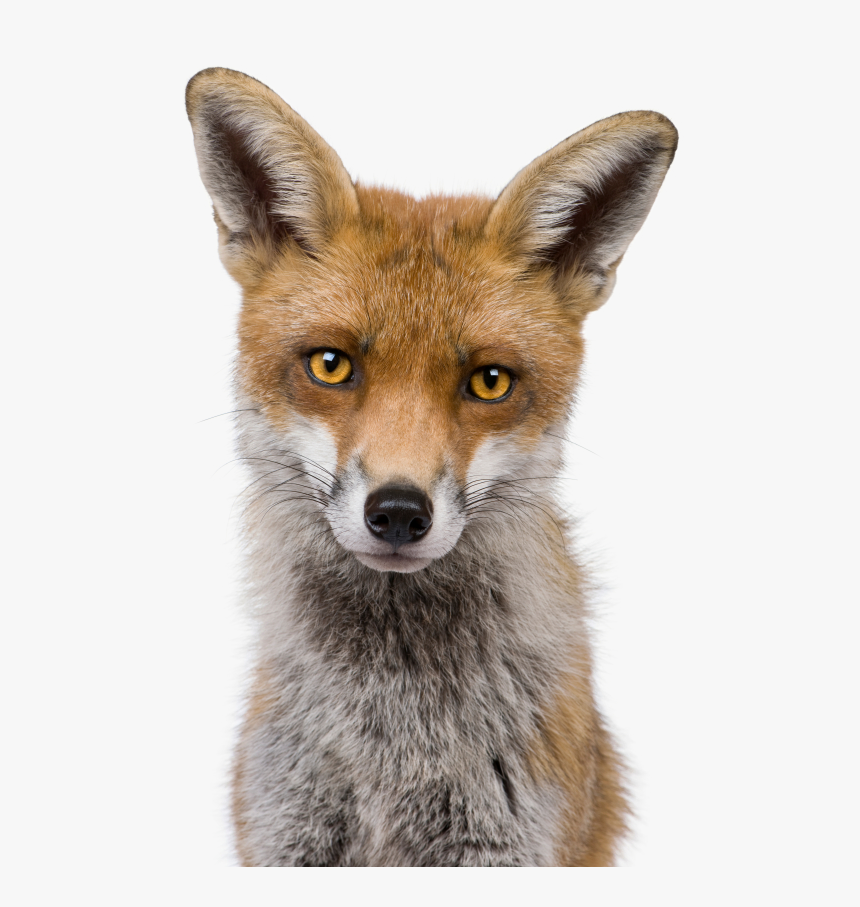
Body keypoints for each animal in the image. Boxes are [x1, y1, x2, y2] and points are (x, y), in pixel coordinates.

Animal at [186, 67, 677, 866]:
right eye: (331, 365)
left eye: (490, 381)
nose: (397, 512)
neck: (394, 732)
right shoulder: (286, 834)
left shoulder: (505, 843)